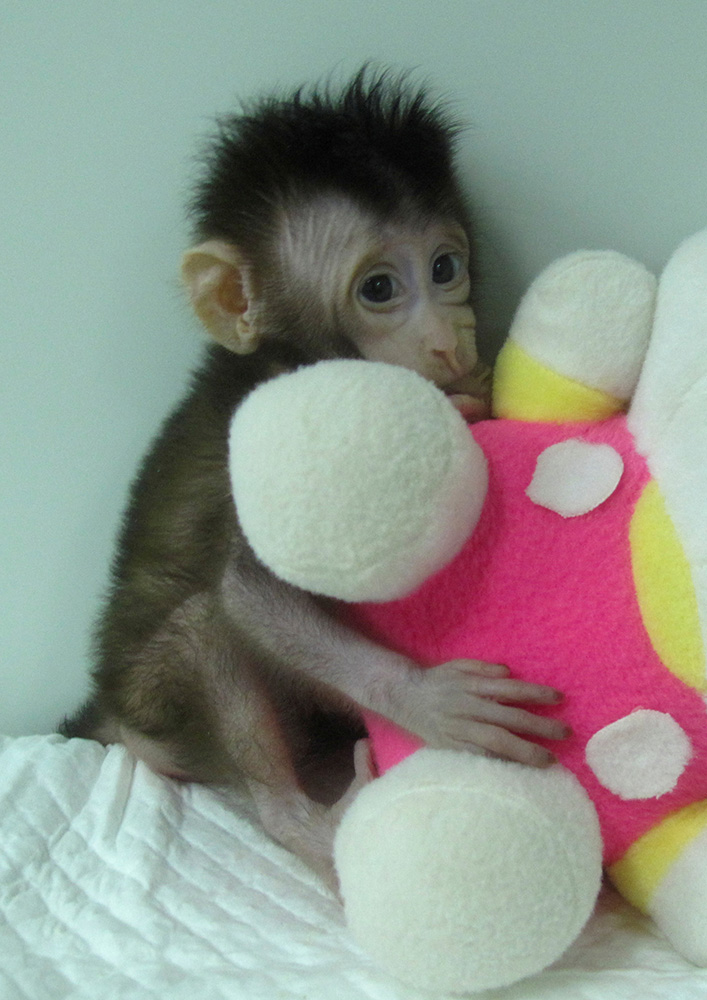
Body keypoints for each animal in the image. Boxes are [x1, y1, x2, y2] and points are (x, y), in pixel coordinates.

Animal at [61, 68, 568, 884]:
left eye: (444, 268)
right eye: (379, 290)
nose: (451, 339)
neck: (289, 360)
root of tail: (102, 713)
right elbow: (248, 588)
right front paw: (427, 699)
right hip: (154, 711)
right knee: (202, 625)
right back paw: (303, 824)